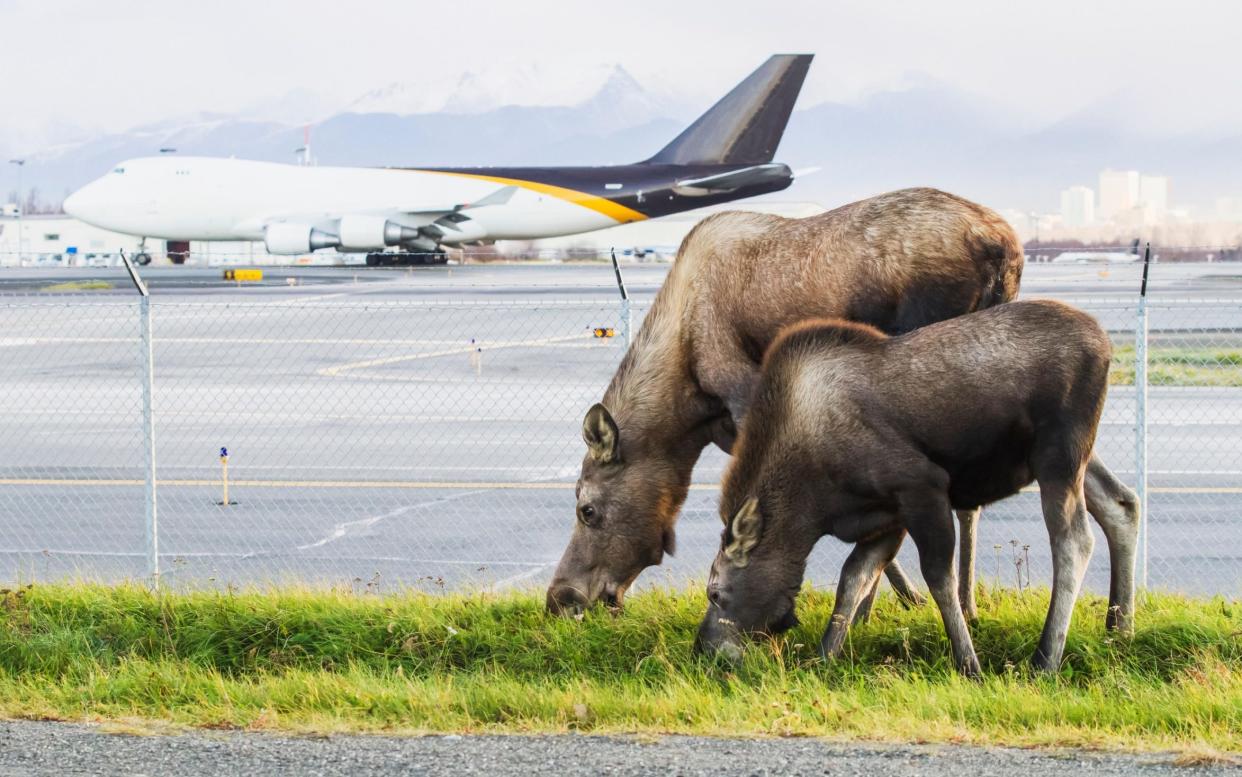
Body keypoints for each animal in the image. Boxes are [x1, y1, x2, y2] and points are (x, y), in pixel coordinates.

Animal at [548, 187, 1137, 630]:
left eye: (587, 509)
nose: (561, 596)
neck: (686, 406)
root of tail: (1006, 247)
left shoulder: (749, 401)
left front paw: (880, 606)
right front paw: (887, 603)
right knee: (1117, 499)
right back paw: (1117, 620)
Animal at [700, 299, 1117, 675]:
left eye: (715, 593)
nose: (702, 652)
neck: (812, 505)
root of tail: (1105, 343)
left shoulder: (921, 486)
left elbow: (938, 578)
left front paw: (969, 663)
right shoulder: (887, 517)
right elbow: (853, 580)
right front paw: (824, 657)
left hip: (1058, 456)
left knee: (1074, 540)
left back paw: (1046, 659)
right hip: (1071, 458)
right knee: (1118, 505)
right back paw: (1118, 626)